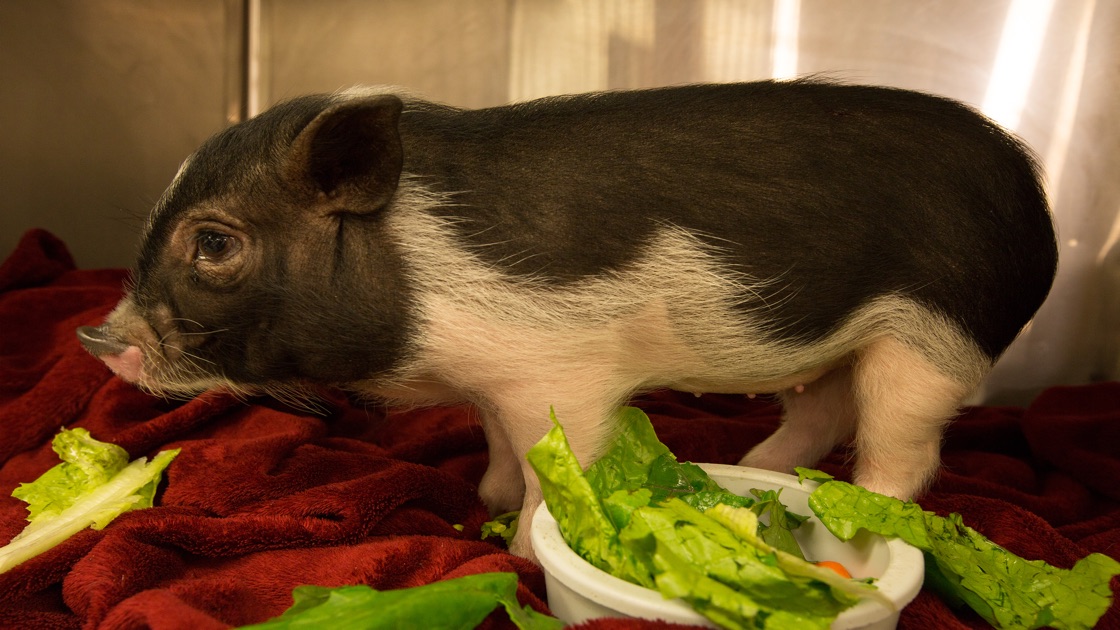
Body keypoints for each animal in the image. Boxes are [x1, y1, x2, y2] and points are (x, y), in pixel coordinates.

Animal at [77, 80, 1057, 558]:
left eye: (213, 243)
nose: (97, 340)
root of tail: (1034, 192)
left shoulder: (562, 376)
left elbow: (562, 467)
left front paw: (520, 546)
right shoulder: (493, 379)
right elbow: (502, 446)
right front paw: (486, 499)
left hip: (931, 342)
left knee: (904, 453)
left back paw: (859, 521)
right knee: (820, 410)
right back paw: (751, 468)